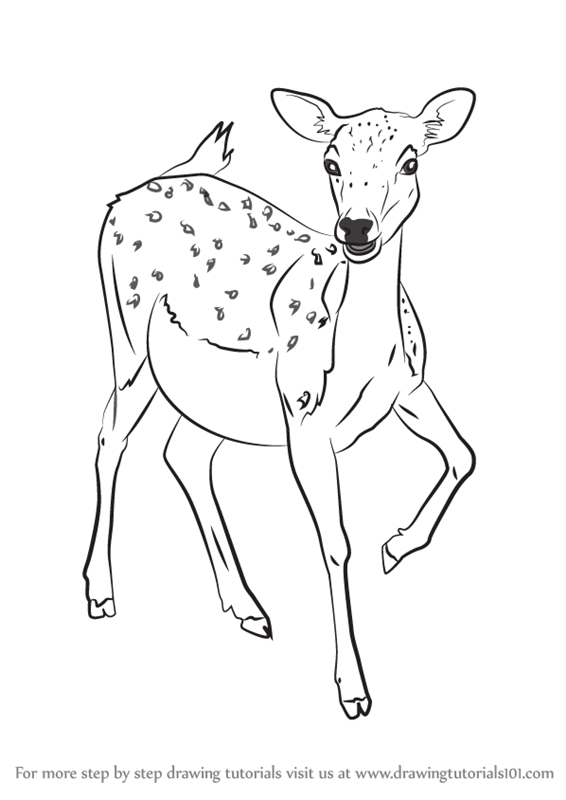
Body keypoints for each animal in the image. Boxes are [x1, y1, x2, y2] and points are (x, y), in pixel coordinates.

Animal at [84, 88, 477, 720]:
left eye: (411, 161)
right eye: (331, 162)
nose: (356, 228)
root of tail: (136, 190)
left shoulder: (410, 390)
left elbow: (464, 454)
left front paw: (395, 546)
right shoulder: (304, 417)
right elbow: (335, 544)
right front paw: (354, 691)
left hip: (207, 393)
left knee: (182, 454)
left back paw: (247, 606)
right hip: (129, 338)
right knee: (110, 436)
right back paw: (101, 590)